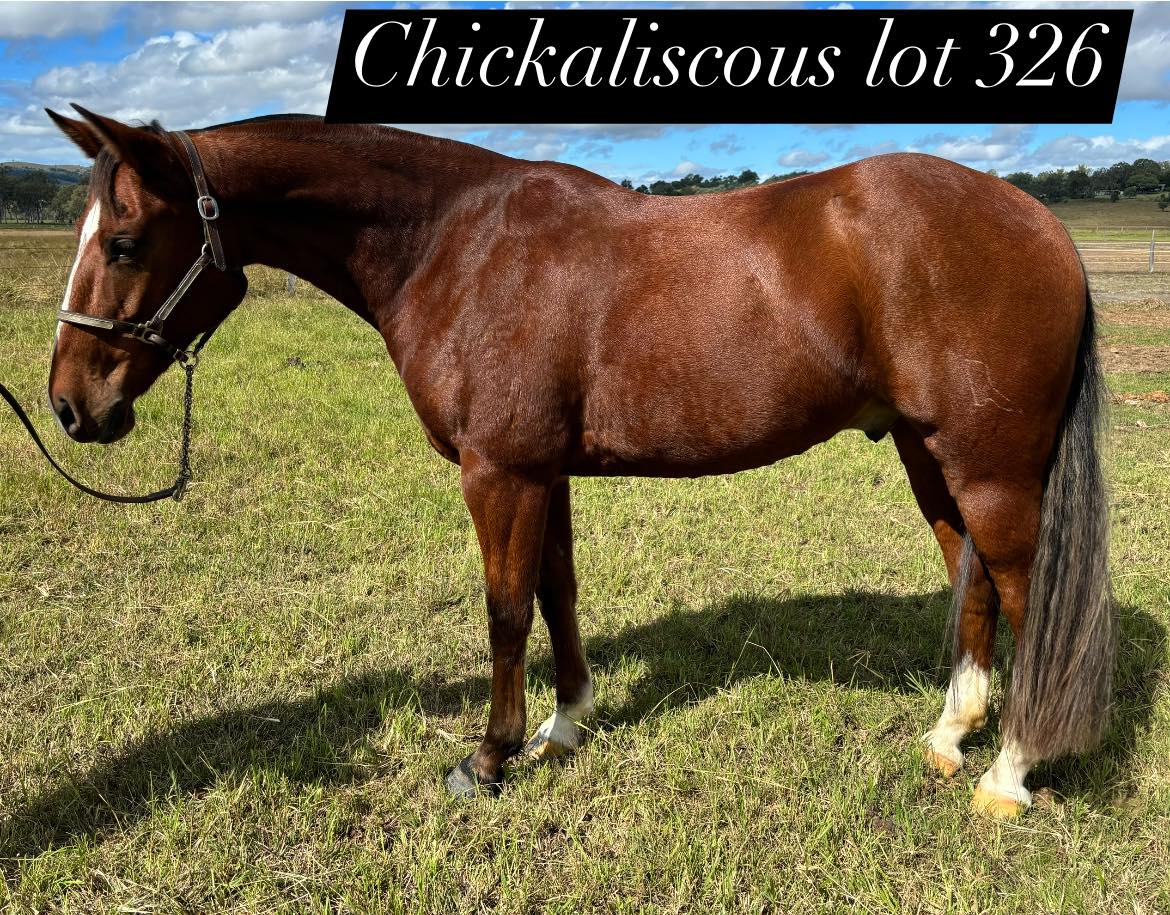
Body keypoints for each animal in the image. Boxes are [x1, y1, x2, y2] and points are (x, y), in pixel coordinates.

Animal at [43, 106, 1114, 817]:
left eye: (126, 240)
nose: (68, 403)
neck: (458, 244)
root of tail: (1043, 226)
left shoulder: (500, 472)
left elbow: (505, 611)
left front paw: (489, 758)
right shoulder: (543, 472)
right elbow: (556, 592)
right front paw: (566, 726)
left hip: (991, 468)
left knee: (1022, 589)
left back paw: (1009, 773)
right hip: (928, 452)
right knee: (971, 576)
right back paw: (950, 736)